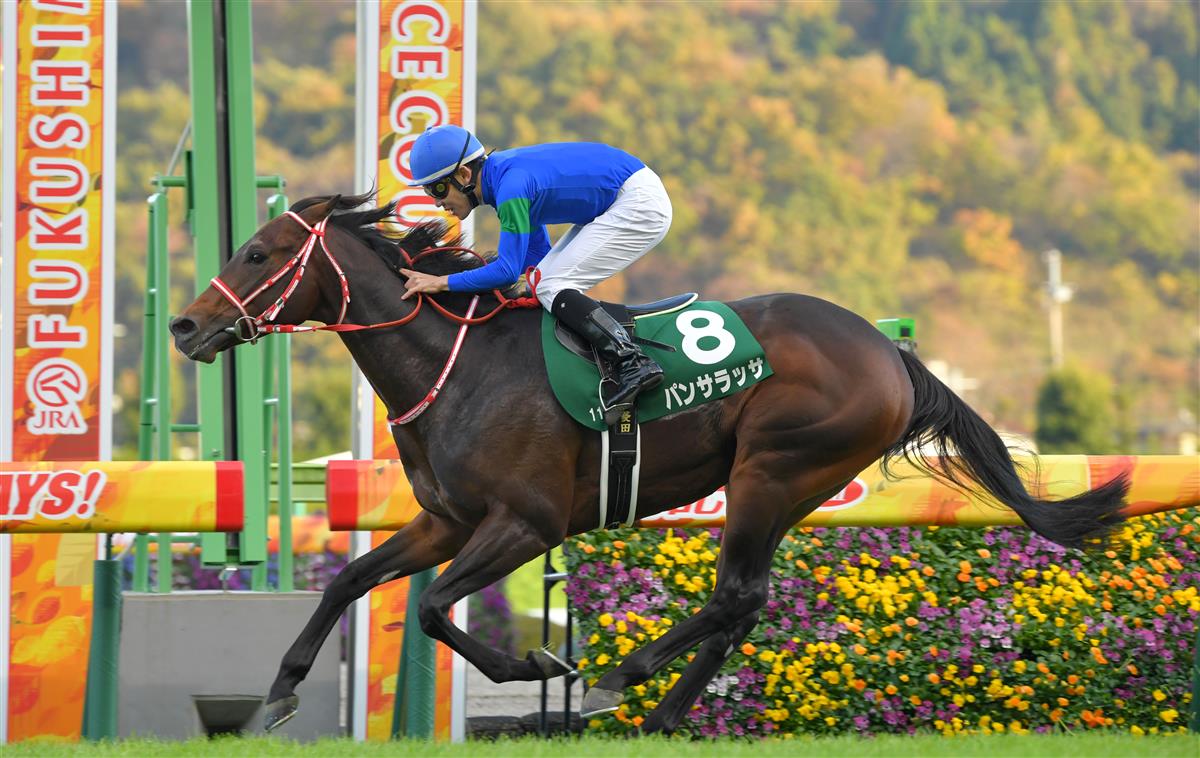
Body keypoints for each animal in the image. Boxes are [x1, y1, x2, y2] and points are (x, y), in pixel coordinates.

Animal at [170, 192, 1129, 734]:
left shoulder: (526, 524)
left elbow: (438, 608)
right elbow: (349, 581)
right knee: (745, 601)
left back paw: (619, 684)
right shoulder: (446, 520)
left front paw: (543, 670)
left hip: (771, 470)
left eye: (257, 254)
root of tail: (890, 353)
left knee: (735, 596)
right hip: (786, 485)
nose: (184, 326)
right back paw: (661, 713)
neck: (457, 364)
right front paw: (278, 696)